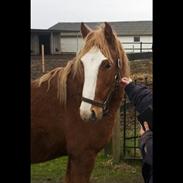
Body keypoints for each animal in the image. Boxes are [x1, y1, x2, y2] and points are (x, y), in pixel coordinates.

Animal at [31, 22, 130, 183]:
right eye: (82, 64)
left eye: (107, 65)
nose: (86, 113)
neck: (69, 101)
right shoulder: (82, 156)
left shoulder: (74, 158)